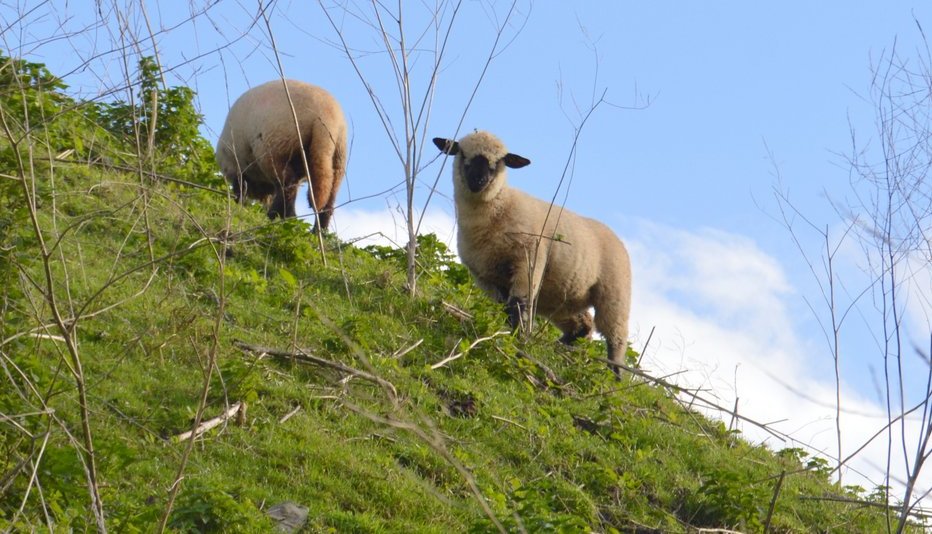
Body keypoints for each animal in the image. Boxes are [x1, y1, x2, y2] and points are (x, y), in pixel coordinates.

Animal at [217, 79, 348, 230]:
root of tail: (325, 116)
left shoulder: (237, 168)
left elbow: (240, 190)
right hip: (338, 155)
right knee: (329, 197)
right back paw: (317, 231)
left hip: (276, 146)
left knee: (287, 185)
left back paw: (278, 216)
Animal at [436, 131, 632, 376]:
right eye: (462, 154)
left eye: (499, 162)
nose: (478, 181)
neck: (498, 210)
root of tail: (615, 236)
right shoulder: (487, 278)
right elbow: (505, 309)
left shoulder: (527, 261)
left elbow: (518, 305)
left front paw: (518, 340)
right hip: (561, 296)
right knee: (583, 325)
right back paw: (559, 348)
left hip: (614, 294)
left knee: (615, 339)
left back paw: (614, 375)